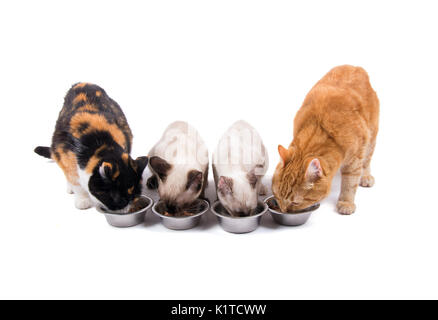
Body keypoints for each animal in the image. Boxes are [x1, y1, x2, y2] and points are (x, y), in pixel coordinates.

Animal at [272, 65, 378, 215]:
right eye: (276, 195)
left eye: (295, 202)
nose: (283, 211)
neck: (320, 127)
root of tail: (356, 67)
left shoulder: (355, 159)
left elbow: (350, 183)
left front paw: (346, 202)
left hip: (371, 137)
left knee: (367, 161)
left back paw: (366, 177)